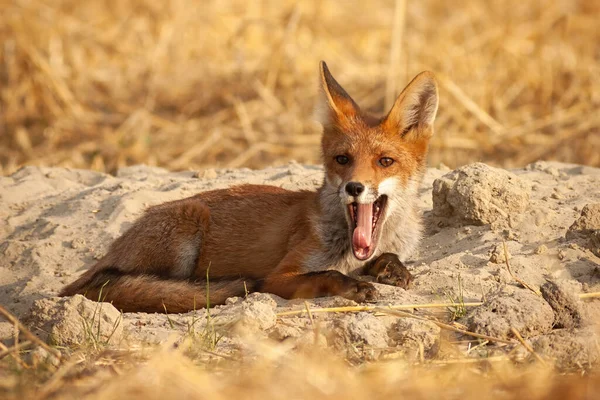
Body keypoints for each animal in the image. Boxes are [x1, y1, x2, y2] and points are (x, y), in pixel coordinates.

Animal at [59, 61, 436, 312]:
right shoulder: (279, 276)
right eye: (342, 159)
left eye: (384, 161)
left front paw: (392, 269)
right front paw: (354, 285)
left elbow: (387, 258)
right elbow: (327, 273)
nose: (354, 188)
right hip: (187, 224)